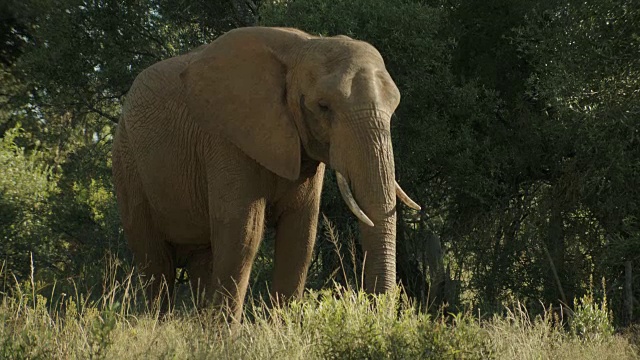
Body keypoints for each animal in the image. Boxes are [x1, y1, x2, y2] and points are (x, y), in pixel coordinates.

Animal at [111, 26, 420, 322]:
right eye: (323, 107)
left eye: (394, 108)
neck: (305, 46)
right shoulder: (226, 138)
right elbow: (242, 233)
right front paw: (223, 339)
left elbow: (299, 238)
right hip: (127, 163)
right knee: (155, 263)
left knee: (201, 263)